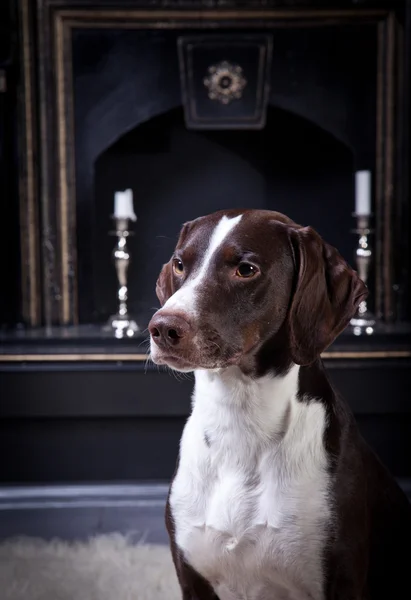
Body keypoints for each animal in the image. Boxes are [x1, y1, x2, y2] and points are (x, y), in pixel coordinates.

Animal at [148, 210, 411, 600]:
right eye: (180, 264)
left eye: (246, 269)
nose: (164, 327)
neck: (240, 423)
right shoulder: (192, 578)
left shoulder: (341, 578)